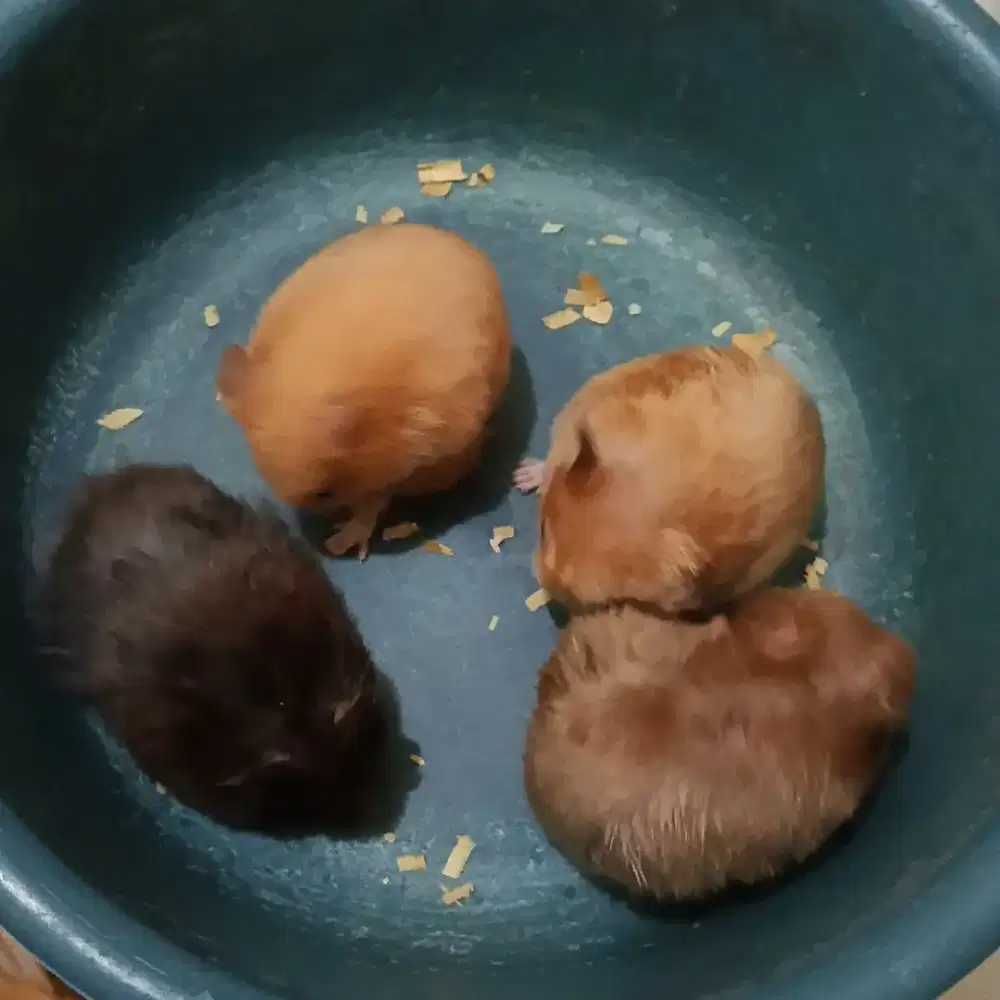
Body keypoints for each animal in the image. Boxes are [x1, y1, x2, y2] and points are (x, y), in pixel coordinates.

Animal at [216, 223, 512, 559]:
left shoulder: (413, 454)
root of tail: (471, 246)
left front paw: (337, 542)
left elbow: (374, 500)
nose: (316, 543)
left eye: (324, 493)